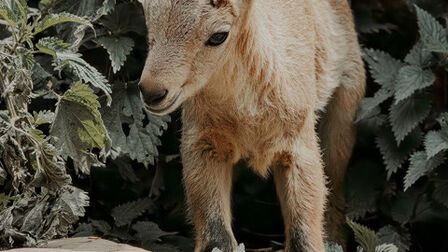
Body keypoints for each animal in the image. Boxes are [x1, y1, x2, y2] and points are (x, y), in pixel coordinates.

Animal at [139, 0, 364, 251]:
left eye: (219, 36)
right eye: (148, 16)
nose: (151, 92)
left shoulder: (298, 144)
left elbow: (304, 232)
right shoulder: (202, 141)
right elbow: (215, 234)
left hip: (346, 101)